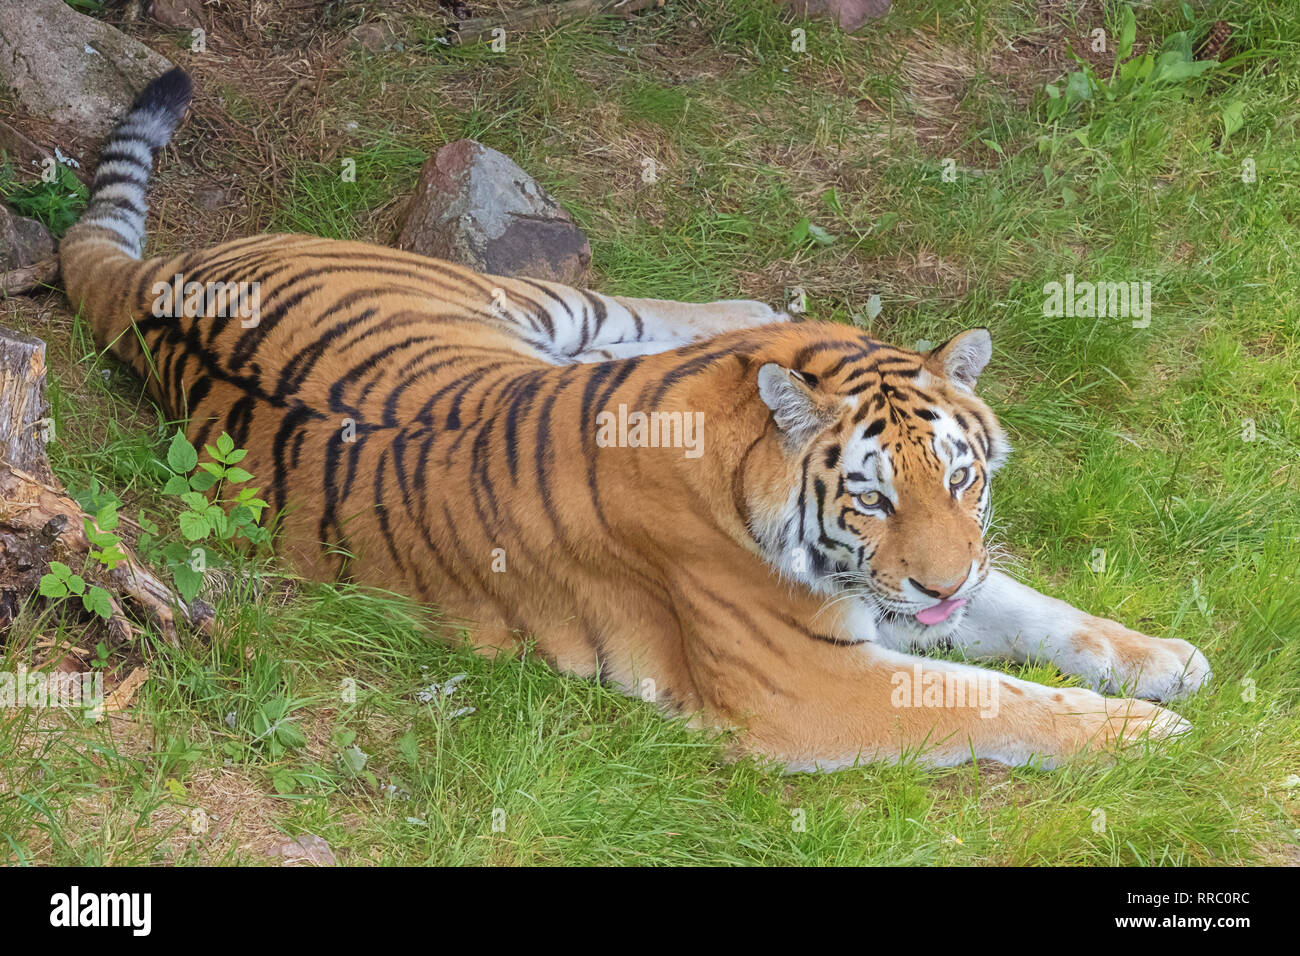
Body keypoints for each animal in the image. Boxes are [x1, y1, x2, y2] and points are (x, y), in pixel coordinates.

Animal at [59, 68, 1210, 770]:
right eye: (872, 500)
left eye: (962, 477)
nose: (935, 585)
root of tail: (154, 279)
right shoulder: (810, 684)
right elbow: (987, 695)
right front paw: (1151, 733)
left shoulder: (929, 584)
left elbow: (1030, 607)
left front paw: (1164, 659)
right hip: (518, 298)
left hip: (543, 315)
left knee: (693, 318)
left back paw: (761, 315)